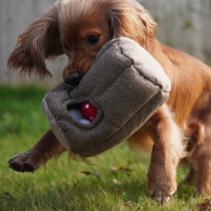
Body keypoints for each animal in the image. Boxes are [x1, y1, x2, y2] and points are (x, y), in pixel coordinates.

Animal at [7, 0, 211, 204]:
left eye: (93, 38)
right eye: (65, 45)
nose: (71, 78)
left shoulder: (163, 116)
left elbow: (163, 144)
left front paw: (162, 185)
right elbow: (53, 134)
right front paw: (28, 157)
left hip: (204, 137)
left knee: (203, 167)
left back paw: (199, 195)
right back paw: (187, 184)